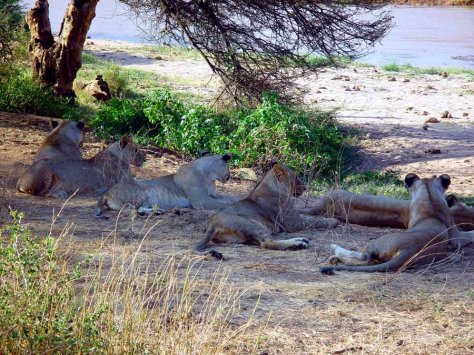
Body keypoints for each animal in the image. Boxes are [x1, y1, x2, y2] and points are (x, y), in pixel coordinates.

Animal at [94, 152, 239, 217]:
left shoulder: (213, 194)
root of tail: (107, 193)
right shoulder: (201, 201)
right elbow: (223, 203)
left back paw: (158, 211)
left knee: (140, 208)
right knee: (130, 210)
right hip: (140, 192)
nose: (229, 176)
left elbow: (229, 197)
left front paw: (238, 199)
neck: (209, 176)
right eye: (228, 167)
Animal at [194, 161, 338, 258]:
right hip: (253, 224)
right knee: (267, 243)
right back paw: (298, 244)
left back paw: (301, 240)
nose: (305, 187)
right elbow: (314, 220)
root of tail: (212, 224)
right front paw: (333, 221)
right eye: (296, 177)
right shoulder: (293, 222)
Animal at [320, 174, 454, 274]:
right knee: (368, 261)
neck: (431, 207)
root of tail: (408, 250)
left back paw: (335, 254)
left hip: (377, 242)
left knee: (364, 259)